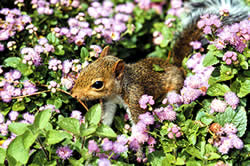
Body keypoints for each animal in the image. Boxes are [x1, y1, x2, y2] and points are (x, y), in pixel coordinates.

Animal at [71, 0, 249, 125]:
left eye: (98, 84)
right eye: (84, 69)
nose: (73, 94)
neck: (120, 87)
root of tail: (176, 66)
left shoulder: (136, 97)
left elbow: (139, 124)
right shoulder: (109, 101)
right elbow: (106, 119)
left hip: (174, 88)